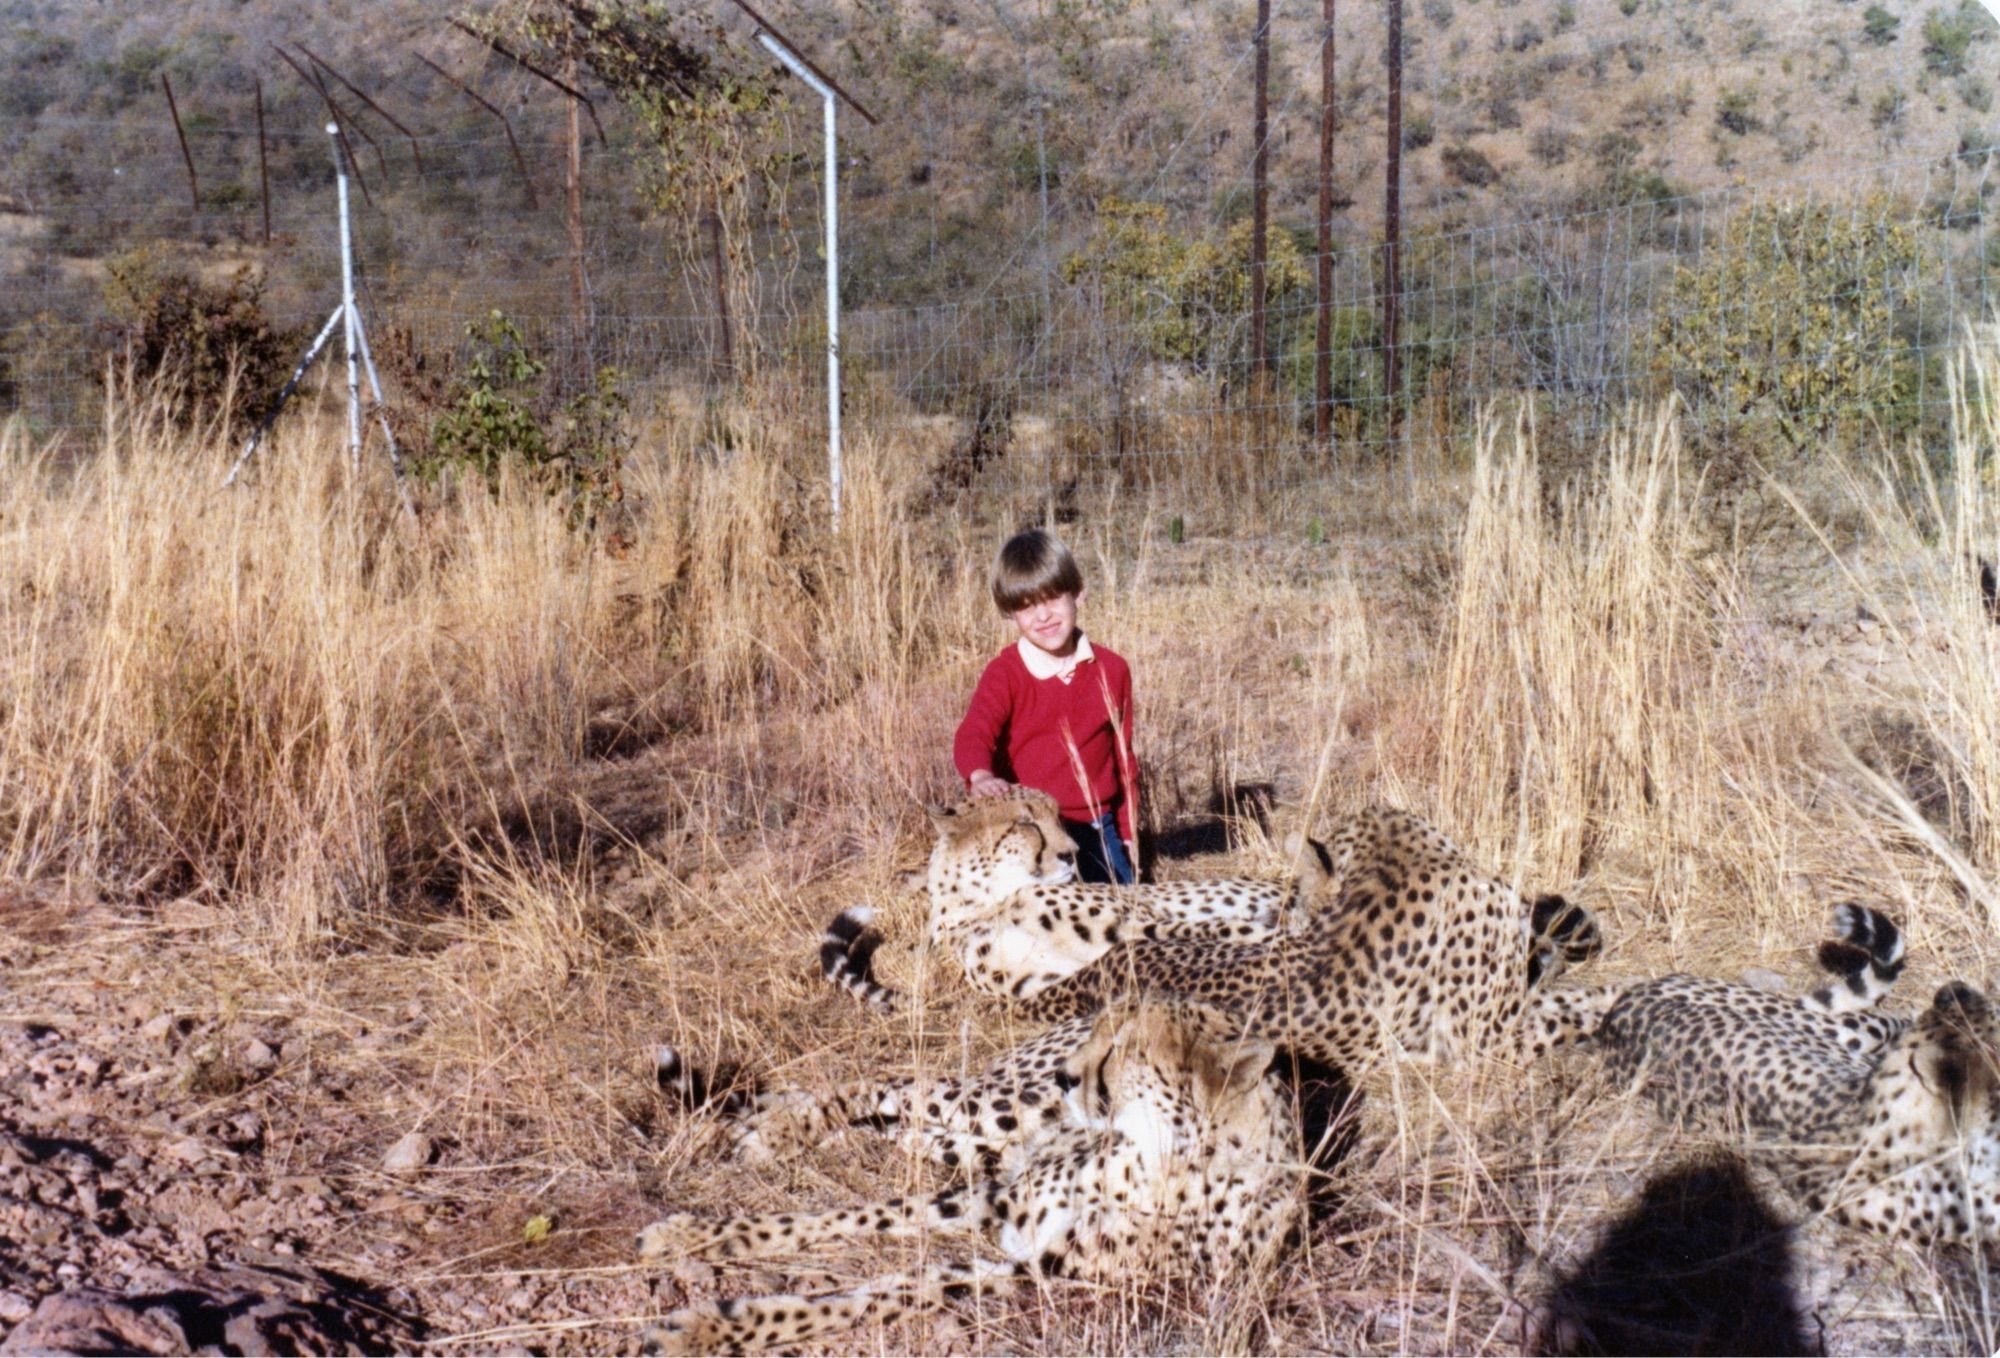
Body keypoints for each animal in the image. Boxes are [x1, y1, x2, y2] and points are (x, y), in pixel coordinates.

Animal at [632, 1004, 1304, 1352]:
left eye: (1123, 1051)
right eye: (1101, 1036)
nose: (1067, 1075)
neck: (1153, 1161)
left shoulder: (1038, 1273)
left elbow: (897, 1286)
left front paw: (716, 1325)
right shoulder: (1002, 1201)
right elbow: (854, 1215)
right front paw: (691, 1239)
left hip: (983, 1144)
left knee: (897, 1126)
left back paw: (787, 1127)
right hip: (996, 1107)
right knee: (888, 1083)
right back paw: (777, 1130)